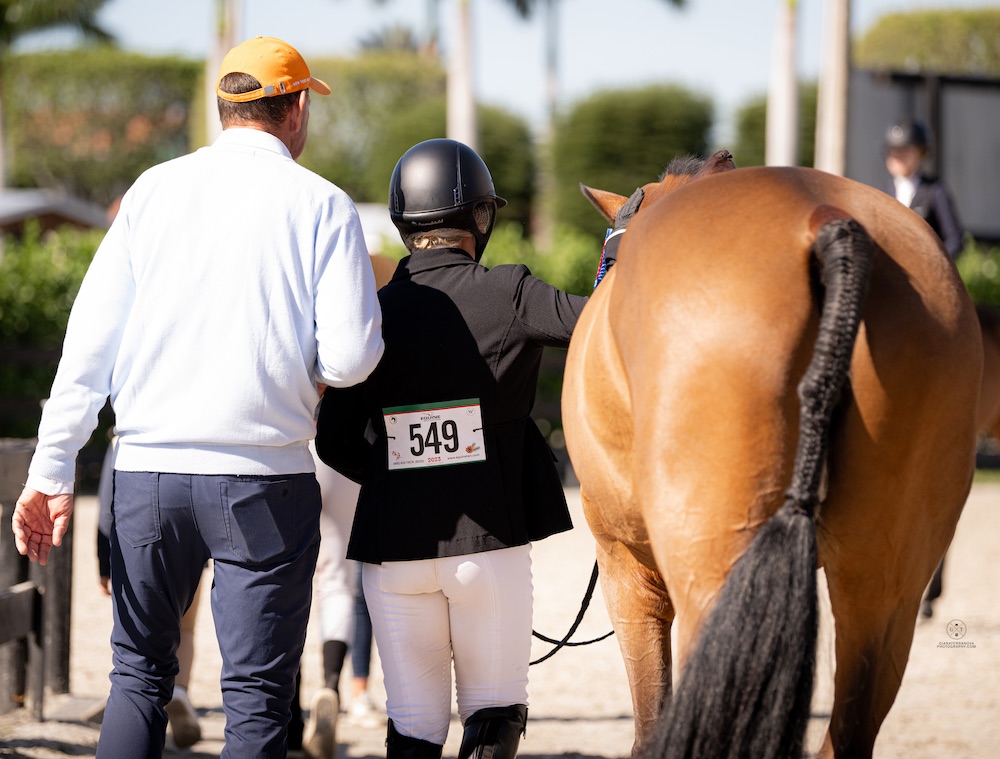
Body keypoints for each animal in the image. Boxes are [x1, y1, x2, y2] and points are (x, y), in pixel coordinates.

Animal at [568, 150, 980, 759]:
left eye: (606, 259)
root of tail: (826, 220)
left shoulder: (627, 567)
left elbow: (650, 718)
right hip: (883, 591)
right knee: (848, 730)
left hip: (713, 575)